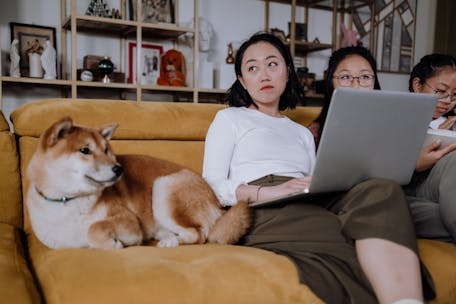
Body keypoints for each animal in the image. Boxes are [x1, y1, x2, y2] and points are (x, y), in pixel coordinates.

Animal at [26, 117, 251, 249]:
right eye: (85, 150)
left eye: (106, 149)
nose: (119, 169)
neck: (69, 200)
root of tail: (216, 202)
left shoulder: (129, 222)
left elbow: (94, 228)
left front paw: (114, 244)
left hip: (163, 189)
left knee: (198, 235)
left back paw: (171, 242)